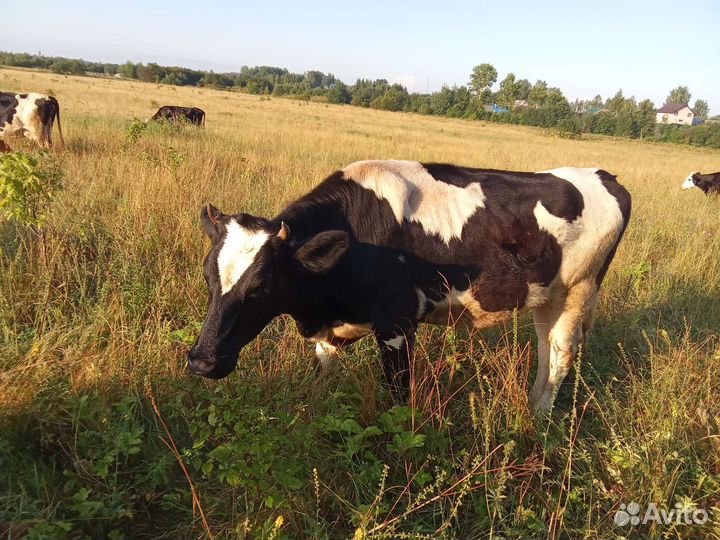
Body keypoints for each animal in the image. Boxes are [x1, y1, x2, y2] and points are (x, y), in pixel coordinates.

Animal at [188, 160, 631, 412]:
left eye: (260, 287)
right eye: (208, 277)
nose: (202, 362)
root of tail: (602, 175)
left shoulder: (397, 325)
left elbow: (399, 396)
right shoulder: (333, 329)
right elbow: (320, 377)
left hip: (577, 293)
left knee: (560, 356)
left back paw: (540, 418)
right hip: (546, 297)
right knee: (544, 351)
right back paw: (533, 407)